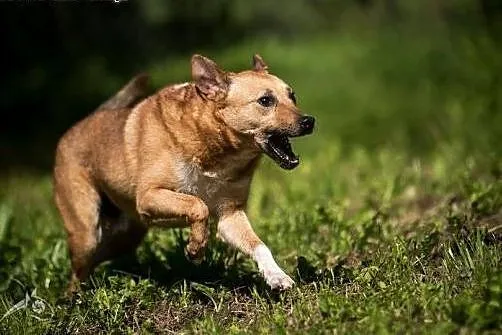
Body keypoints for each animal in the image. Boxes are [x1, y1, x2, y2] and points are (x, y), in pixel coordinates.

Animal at [54, 54, 314, 292]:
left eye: (292, 96)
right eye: (265, 100)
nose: (309, 121)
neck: (217, 153)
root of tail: (80, 123)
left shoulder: (230, 215)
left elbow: (258, 245)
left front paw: (276, 276)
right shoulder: (149, 196)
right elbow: (199, 205)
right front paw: (196, 248)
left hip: (126, 235)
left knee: (96, 261)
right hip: (87, 233)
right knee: (79, 269)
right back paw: (74, 299)